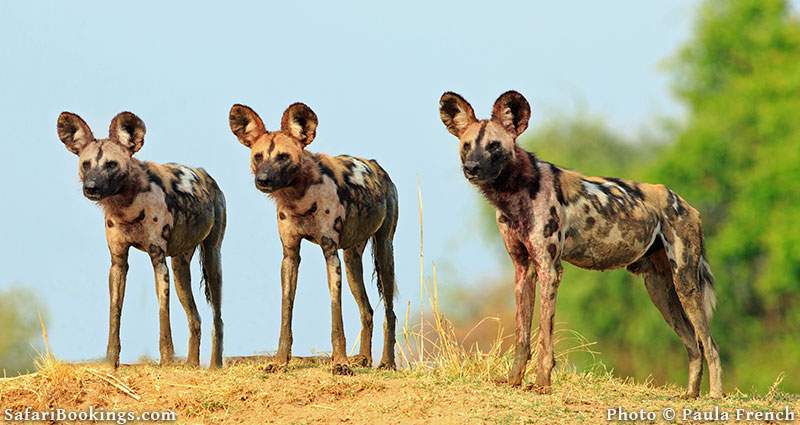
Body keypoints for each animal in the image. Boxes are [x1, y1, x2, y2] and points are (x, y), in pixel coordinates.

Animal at [56, 112, 227, 368]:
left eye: (111, 164)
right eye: (86, 165)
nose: (91, 188)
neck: (126, 207)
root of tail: (205, 174)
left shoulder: (158, 259)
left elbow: (163, 314)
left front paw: (166, 361)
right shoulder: (118, 263)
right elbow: (114, 313)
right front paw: (111, 362)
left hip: (212, 259)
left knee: (218, 318)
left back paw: (215, 365)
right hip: (179, 268)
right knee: (195, 318)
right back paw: (192, 365)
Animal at [228, 102, 396, 374]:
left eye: (283, 157)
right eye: (258, 156)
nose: (262, 180)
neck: (299, 199)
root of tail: (375, 165)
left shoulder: (330, 253)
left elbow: (336, 317)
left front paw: (340, 364)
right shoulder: (290, 256)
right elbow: (286, 312)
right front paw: (280, 361)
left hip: (383, 252)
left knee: (390, 312)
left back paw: (387, 362)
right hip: (351, 261)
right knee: (367, 310)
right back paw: (363, 358)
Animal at [440, 90, 720, 398]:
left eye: (494, 146)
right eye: (467, 146)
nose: (471, 168)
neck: (514, 194)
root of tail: (682, 201)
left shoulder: (550, 269)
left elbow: (544, 337)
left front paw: (542, 383)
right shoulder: (523, 270)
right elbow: (522, 336)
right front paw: (514, 381)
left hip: (685, 283)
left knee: (711, 346)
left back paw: (715, 396)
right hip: (659, 289)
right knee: (694, 345)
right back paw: (690, 395)